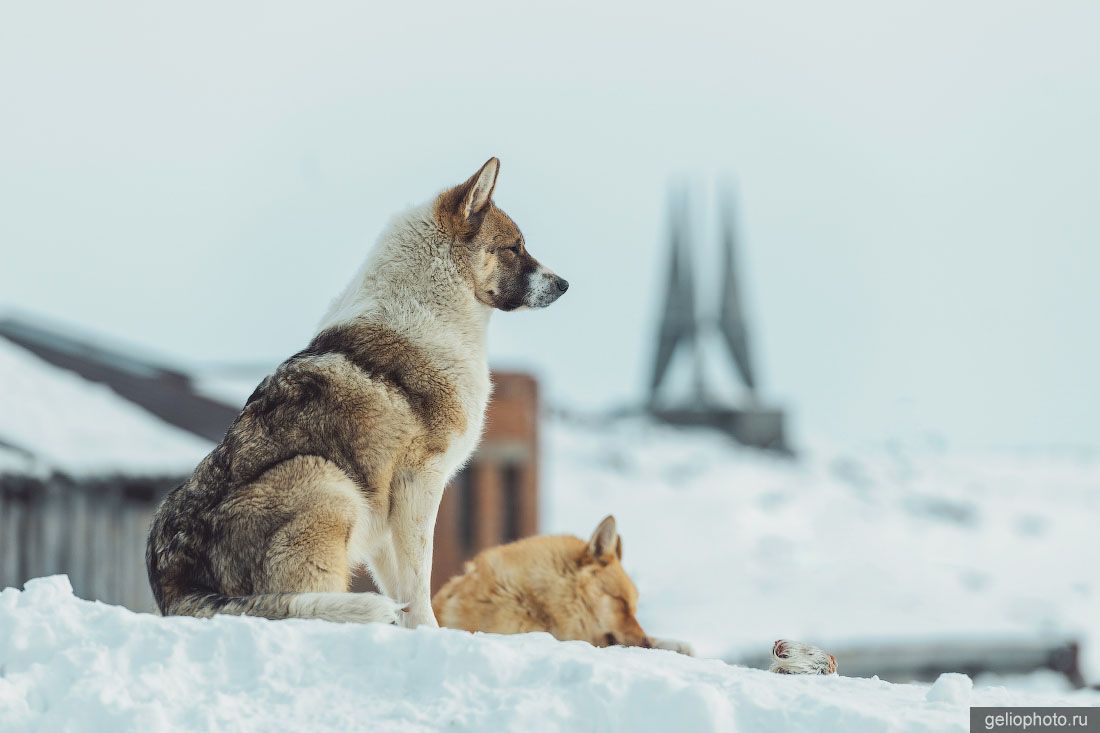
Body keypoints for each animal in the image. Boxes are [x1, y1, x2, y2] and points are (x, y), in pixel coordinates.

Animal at [146, 157, 567, 625]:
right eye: (514, 247)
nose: (564, 284)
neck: (433, 307)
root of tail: (176, 588)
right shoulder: (419, 482)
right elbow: (419, 579)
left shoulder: (384, 509)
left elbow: (399, 585)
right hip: (328, 482)